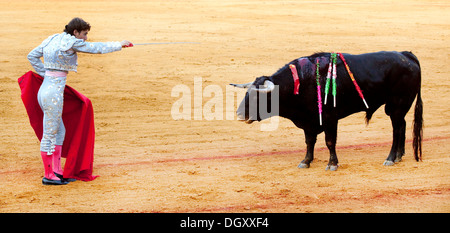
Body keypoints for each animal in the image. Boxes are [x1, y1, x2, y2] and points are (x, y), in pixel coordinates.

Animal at [230, 51, 424, 171]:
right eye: (247, 93)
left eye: (257, 97)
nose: (239, 114)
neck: (302, 81)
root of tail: (407, 55)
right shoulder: (309, 120)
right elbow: (309, 141)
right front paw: (306, 161)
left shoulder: (330, 118)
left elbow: (330, 141)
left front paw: (332, 164)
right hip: (397, 108)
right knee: (402, 126)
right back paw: (399, 156)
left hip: (397, 105)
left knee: (396, 129)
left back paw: (390, 158)